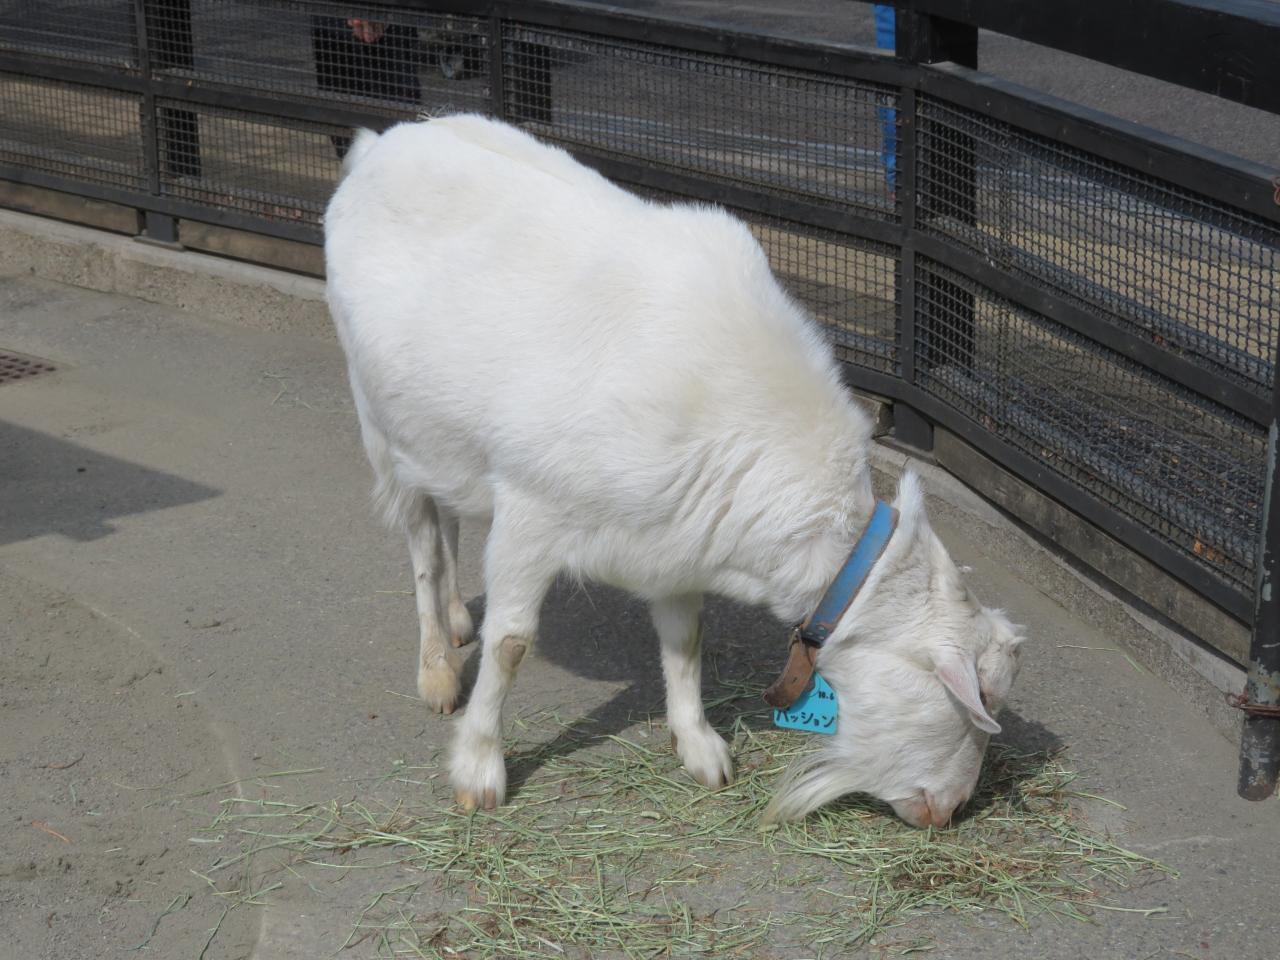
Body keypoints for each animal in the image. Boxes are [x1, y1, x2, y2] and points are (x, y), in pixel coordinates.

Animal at [324, 115, 1025, 828]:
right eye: (981, 698)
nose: (948, 809)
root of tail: (380, 144)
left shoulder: (678, 536)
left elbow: (686, 638)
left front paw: (699, 745)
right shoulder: (530, 511)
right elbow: (512, 643)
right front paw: (478, 767)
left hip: (439, 435)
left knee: (447, 517)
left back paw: (457, 618)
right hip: (377, 417)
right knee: (421, 542)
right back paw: (437, 667)